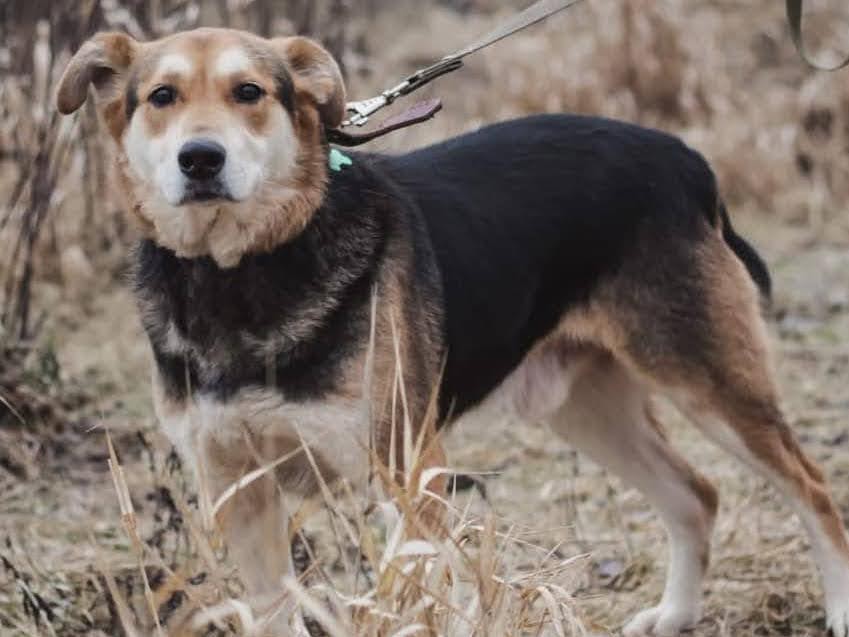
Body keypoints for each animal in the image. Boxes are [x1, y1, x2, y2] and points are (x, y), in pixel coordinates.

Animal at [58, 26, 848, 636]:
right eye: (161, 98)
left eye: (248, 92)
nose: (200, 159)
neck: (240, 272)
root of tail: (685, 159)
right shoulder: (236, 487)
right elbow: (273, 610)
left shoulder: (406, 473)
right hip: (583, 406)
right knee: (696, 495)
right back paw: (676, 613)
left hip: (708, 379)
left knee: (813, 489)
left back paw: (837, 606)